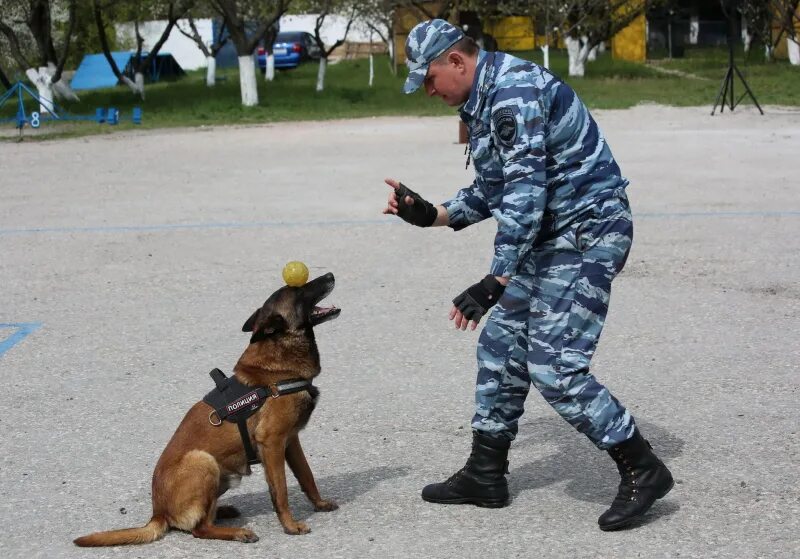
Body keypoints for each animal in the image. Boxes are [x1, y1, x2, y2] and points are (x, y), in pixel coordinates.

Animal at [71, 274, 340, 548]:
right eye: (299, 290)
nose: (330, 276)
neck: (277, 370)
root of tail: (158, 513)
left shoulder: (291, 441)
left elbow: (306, 475)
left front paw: (319, 503)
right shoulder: (272, 443)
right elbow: (281, 491)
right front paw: (290, 525)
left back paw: (223, 511)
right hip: (203, 461)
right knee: (199, 529)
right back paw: (237, 532)